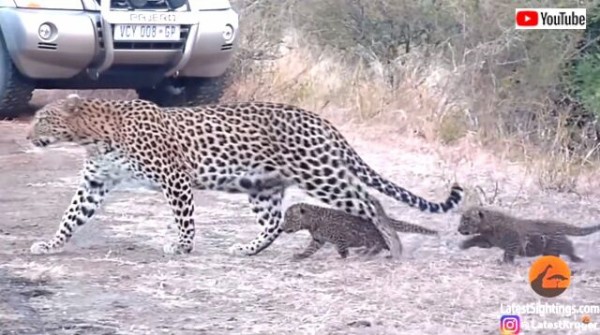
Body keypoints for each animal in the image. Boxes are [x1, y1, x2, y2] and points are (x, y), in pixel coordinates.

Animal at [25, 95, 464, 260]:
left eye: (42, 119)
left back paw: (395, 247)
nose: (28, 137)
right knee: (273, 223)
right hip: (261, 186)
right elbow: (71, 217)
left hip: (320, 174)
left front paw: (181, 247)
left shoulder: (174, 177)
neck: (94, 136)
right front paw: (50, 244)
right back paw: (249, 249)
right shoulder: (95, 184)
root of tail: (319, 119)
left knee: (370, 200)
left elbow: (184, 218)